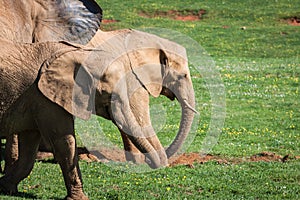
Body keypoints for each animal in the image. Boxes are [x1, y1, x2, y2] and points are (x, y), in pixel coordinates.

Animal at [0, 28, 196, 199]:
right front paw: (79, 198)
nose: (158, 164)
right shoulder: (44, 96)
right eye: (183, 76)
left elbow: (29, 147)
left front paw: (6, 187)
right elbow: (64, 141)